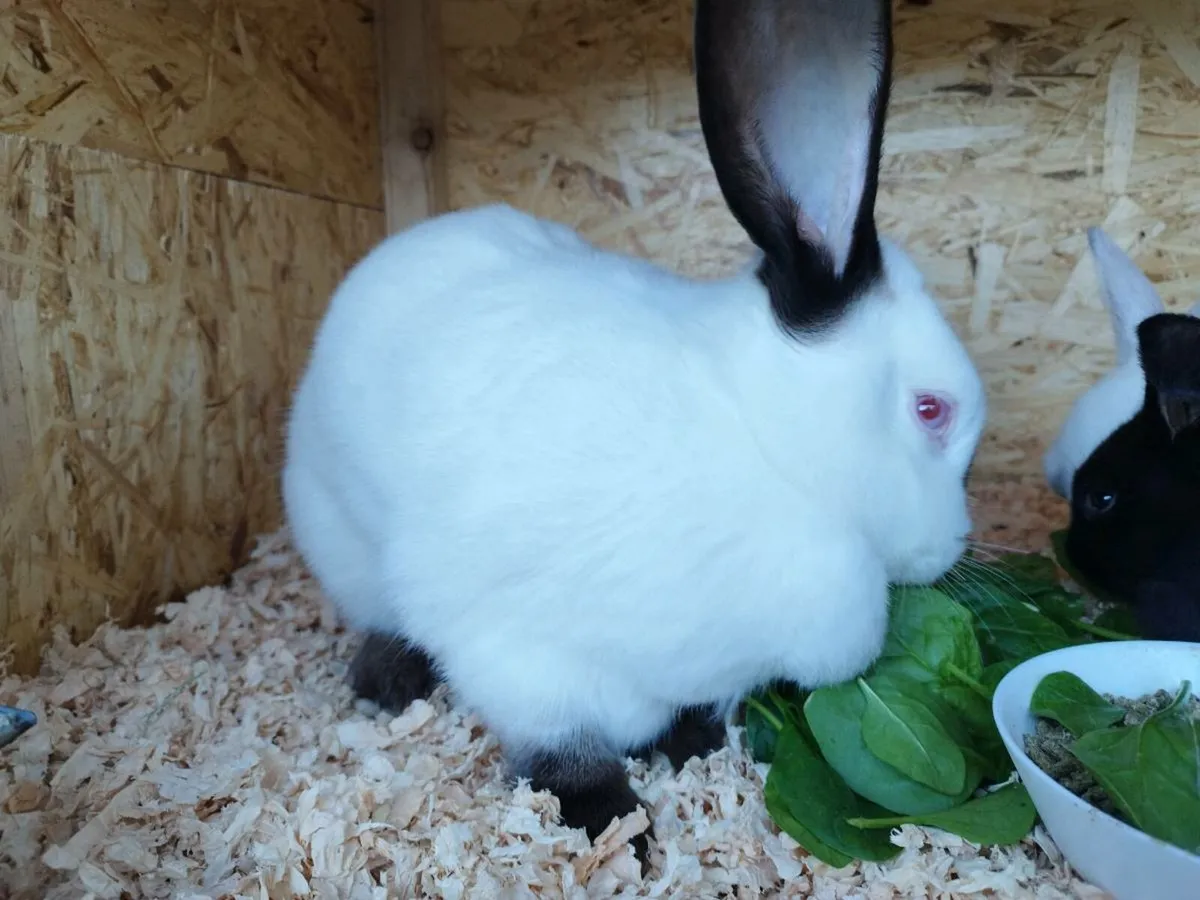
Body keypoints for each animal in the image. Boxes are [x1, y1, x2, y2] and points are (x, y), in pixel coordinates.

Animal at [281, 0, 986, 864]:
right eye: (932, 410)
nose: (957, 545)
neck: (771, 454)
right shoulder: (518, 652)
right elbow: (563, 750)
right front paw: (616, 830)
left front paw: (690, 748)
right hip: (342, 538)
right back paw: (386, 683)